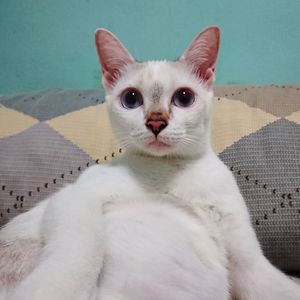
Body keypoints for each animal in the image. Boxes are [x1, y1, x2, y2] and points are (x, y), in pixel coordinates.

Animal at [0, 26, 300, 300]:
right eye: (131, 98)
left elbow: (276, 286)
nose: (156, 122)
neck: (170, 170)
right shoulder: (74, 197)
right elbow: (76, 258)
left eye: (184, 97)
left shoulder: (247, 261)